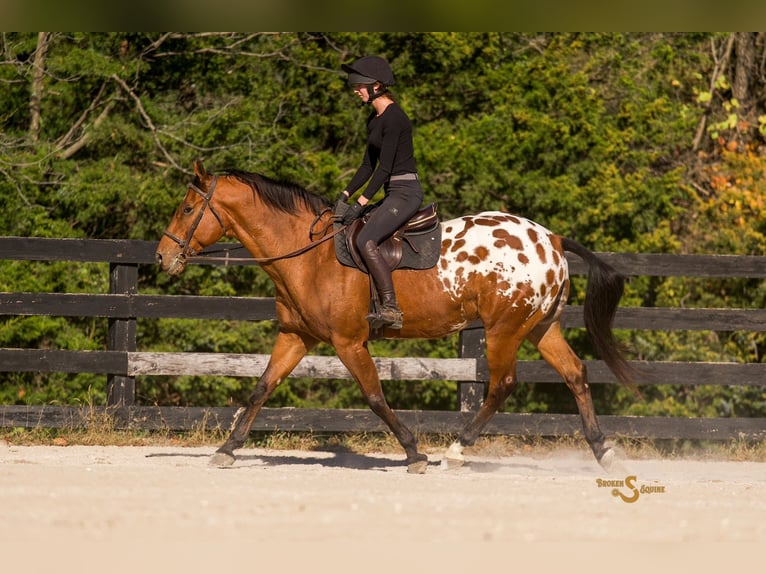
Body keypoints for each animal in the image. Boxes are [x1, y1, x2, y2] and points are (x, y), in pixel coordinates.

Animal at [156, 160, 636, 473]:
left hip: (504, 330)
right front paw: (228, 448)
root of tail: (550, 238)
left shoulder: (349, 342)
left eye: (186, 209)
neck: (309, 256)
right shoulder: (295, 337)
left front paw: (414, 453)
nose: (162, 257)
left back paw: (456, 451)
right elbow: (261, 389)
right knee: (575, 373)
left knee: (502, 385)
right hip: (539, 327)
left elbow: (374, 397)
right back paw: (603, 452)